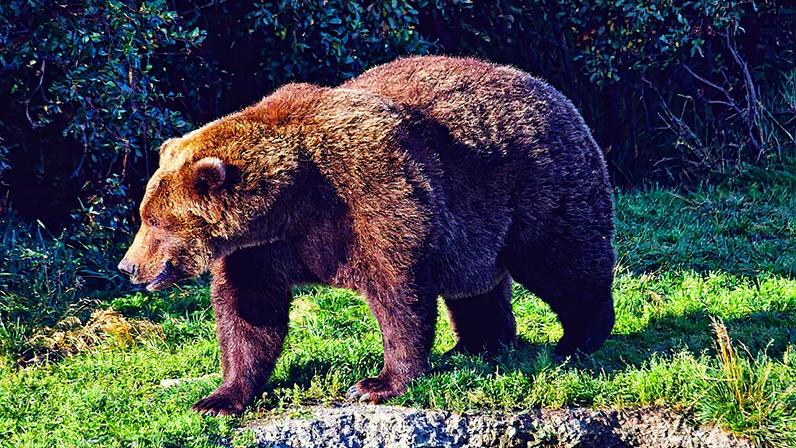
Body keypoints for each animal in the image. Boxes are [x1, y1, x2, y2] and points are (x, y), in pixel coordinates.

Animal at [118, 56, 616, 416]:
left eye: (157, 222)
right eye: (144, 215)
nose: (128, 267)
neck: (290, 203)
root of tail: (554, 92)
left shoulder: (369, 193)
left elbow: (399, 291)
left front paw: (378, 384)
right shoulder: (261, 250)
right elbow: (248, 313)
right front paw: (218, 397)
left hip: (535, 185)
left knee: (563, 261)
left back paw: (576, 341)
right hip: (479, 229)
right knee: (475, 285)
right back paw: (478, 344)